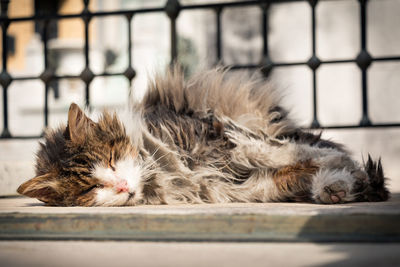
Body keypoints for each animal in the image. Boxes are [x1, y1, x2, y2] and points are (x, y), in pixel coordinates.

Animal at [17, 67, 390, 207]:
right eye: (90, 188)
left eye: (110, 160)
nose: (122, 186)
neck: (161, 172)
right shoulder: (233, 188)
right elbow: (284, 175)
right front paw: (331, 178)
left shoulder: (216, 131)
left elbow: (277, 153)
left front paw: (338, 166)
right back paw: (335, 187)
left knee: (308, 143)